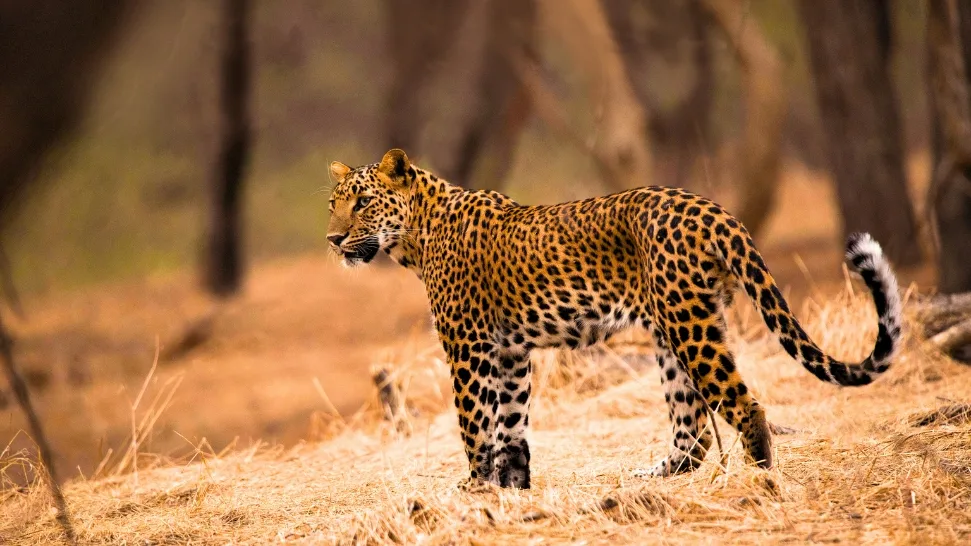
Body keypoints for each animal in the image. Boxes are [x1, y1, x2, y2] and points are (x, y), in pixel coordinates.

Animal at [325, 148, 903, 489]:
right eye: (333, 204)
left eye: (362, 203)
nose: (333, 239)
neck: (416, 239)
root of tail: (715, 210)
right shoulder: (510, 352)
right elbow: (511, 429)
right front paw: (511, 493)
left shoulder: (468, 347)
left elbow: (473, 424)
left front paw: (471, 491)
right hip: (677, 332)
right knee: (692, 433)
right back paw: (649, 479)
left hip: (688, 327)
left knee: (744, 406)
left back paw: (758, 485)